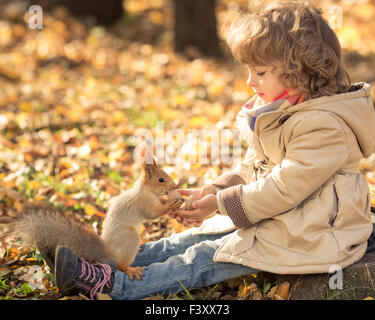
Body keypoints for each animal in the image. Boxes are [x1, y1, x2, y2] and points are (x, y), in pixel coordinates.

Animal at [0, 159, 184, 282]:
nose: (175, 187)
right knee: (120, 265)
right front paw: (171, 204)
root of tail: (108, 249)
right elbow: (154, 213)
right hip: (129, 237)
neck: (145, 190)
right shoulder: (144, 203)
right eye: (161, 179)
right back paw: (130, 269)